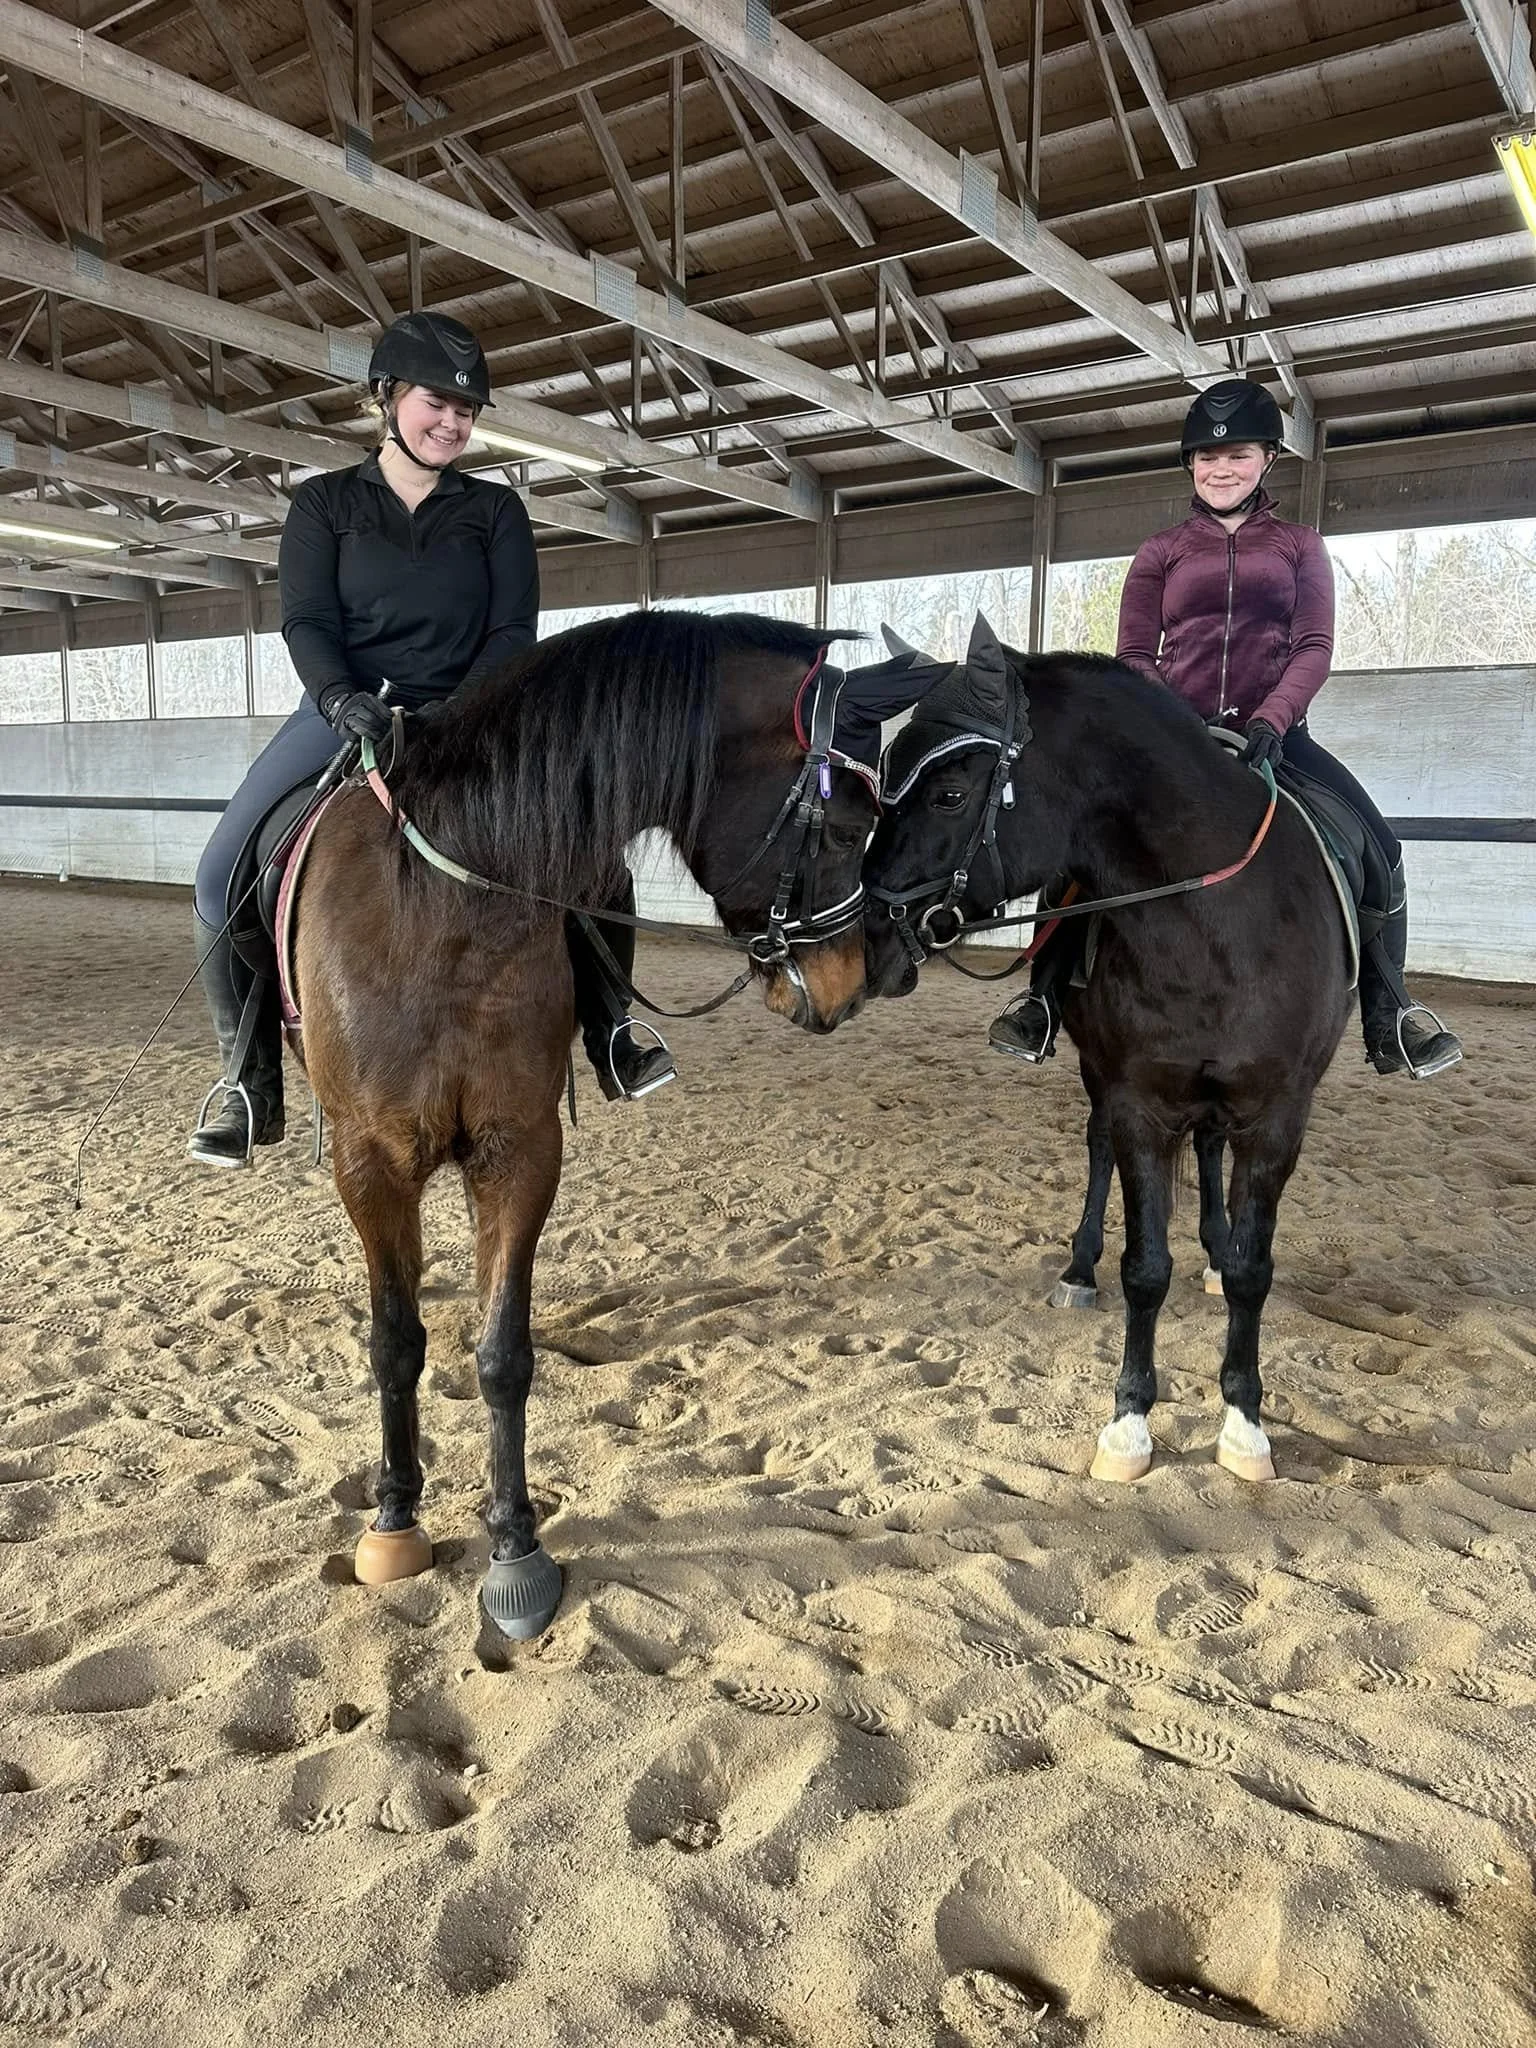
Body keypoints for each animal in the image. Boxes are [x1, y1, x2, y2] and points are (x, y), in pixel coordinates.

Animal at [291, 609, 890, 1638]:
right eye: (847, 821)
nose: (851, 988)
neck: (445, 907)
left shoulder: (521, 1149)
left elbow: (503, 1356)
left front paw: (515, 1551)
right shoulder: (371, 1160)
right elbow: (394, 1342)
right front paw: (394, 1520)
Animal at [864, 617, 1352, 1489]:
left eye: (950, 793)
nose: (869, 939)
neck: (1215, 922)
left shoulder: (1277, 1116)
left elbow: (1254, 1271)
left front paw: (1245, 1423)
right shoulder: (1136, 1104)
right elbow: (1144, 1267)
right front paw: (1128, 1424)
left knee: (1212, 1151)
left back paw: (1215, 1251)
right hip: (1100, 1077)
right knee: (1099, 1153)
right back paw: (1078, 1271)